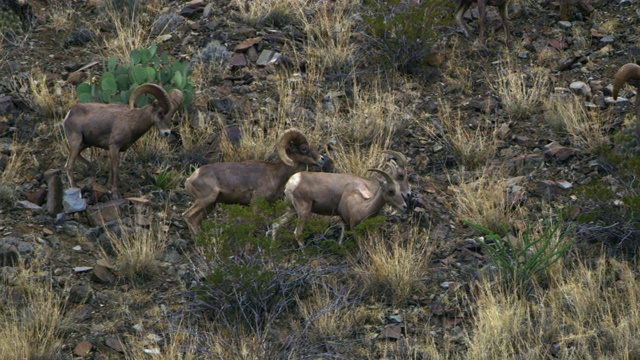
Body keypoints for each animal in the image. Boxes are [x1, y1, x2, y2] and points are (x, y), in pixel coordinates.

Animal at [184, 128, 324, 235]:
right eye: (304, 148)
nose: (322, 159)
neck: (277, 174)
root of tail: (189, 179)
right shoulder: (256, 204)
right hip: (205, 200)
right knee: (188, 216)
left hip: (210, 205)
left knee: (196, 221)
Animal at [272, 167, 408, 246]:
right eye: (391, 191)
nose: (405, 205)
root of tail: (293, 182)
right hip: (303, 212)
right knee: (297, 232)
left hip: (291, 210)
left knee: (276, 224)